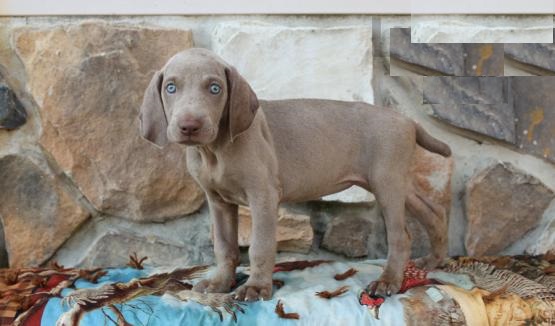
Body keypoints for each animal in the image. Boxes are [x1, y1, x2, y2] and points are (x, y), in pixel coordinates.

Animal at [139, 47, 452, 300]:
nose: (189, 126)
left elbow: (260, 246)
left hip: (386, 183)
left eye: (215, 88)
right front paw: (221, 283)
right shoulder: (218, 201)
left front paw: (256, 287)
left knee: (402, 236)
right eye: (171, 87)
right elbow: (225, 247)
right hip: (396, 182)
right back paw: (433, 260)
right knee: (433, 211)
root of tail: (408, 120)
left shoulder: (263, 196)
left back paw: (388, 282)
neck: (214, 151)